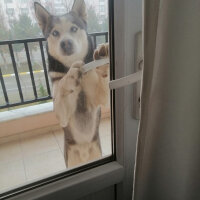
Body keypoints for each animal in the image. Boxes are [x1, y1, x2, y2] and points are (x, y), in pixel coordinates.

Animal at [34, 0, 109, 167]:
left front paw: (104, 57)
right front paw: (69, 78)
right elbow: (62, 87)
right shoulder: (61, 115)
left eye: (74, 28)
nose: (66, 43)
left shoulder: (100, 98)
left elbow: (103, 85)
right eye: (55, 33)